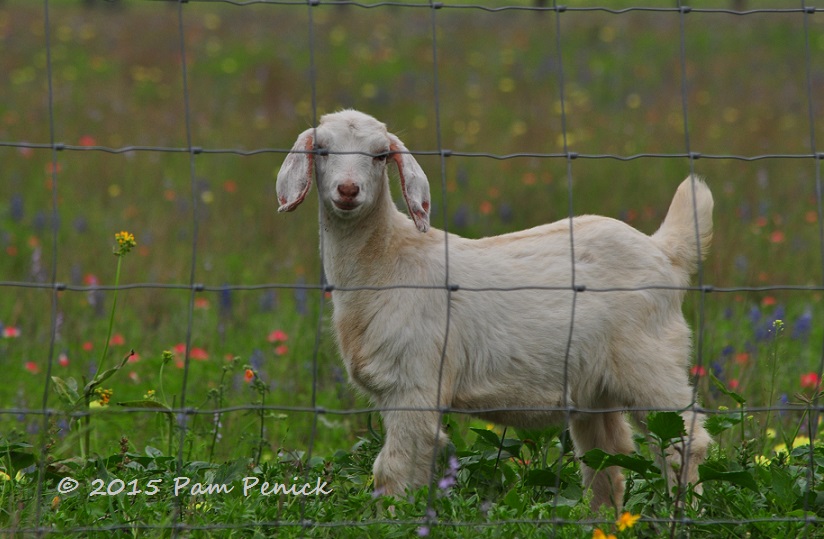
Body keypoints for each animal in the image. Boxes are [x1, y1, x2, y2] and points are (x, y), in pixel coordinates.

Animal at [278, 108, 716, 510]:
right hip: (596, 387)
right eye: (321, 149)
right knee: (606, 457)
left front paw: (394, 518)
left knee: (684, 439)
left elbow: (394, 470)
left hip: (651, 362)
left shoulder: (414, 383)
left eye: (381, 154)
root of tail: (665, 250)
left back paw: (686, 512)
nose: (348, 190)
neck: (386, 262)